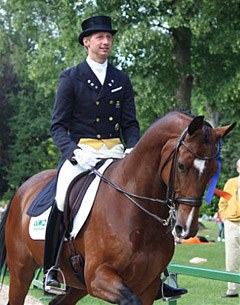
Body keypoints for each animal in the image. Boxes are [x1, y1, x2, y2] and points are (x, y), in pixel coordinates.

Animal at [0, 110, 235, 304]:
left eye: (213, 170)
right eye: (182, 165)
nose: (185, 228)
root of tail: (23, 189)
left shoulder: (148, 285)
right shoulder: (99, 277)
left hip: (77, 285)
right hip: (21, 270)